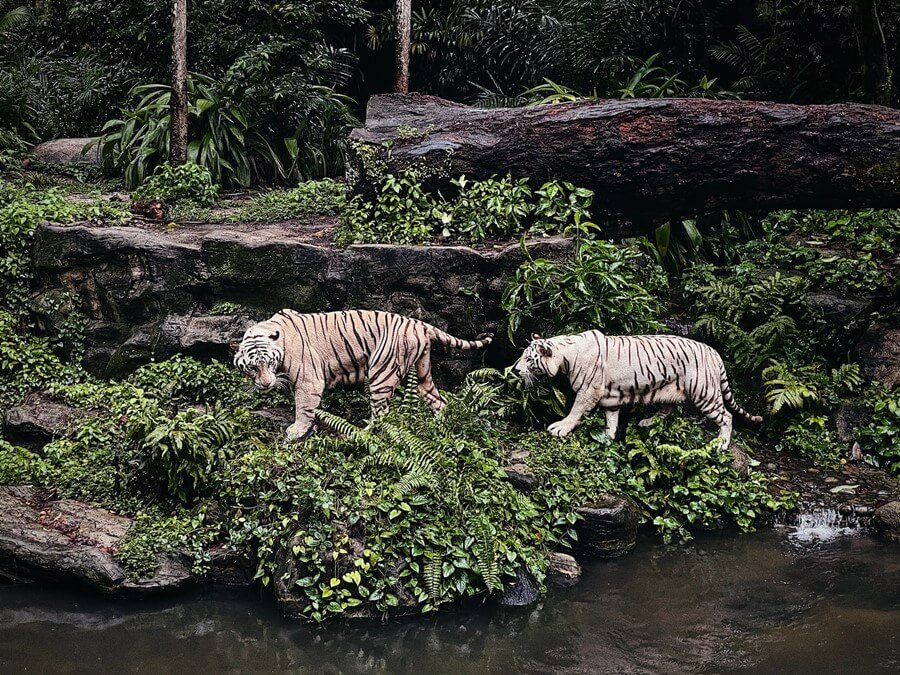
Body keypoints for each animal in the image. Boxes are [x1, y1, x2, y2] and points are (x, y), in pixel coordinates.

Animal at [232, 310, 492, 440]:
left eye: (269, 362)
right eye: (252, 367)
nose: (266, 384)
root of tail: (419, 323)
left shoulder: (308, 381)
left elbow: (303, 407)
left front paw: (297, 430)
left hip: (381, 374)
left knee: (382, 414)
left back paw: (361, 434)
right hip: (422, 372)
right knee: (438, 400)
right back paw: (441, 426)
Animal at [512, 328, 760, 446]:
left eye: (528, 359)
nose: (514, 369)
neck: (566, 354)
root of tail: (714, 352)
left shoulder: (588, 391)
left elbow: (575, 411)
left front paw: (560, 428)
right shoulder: (609, 398)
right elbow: (611, 419)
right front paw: (607, 437)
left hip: (705, 393)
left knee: (727, 416)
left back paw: (722, 443)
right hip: (669, 388)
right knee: (668, 409)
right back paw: (647, 421)